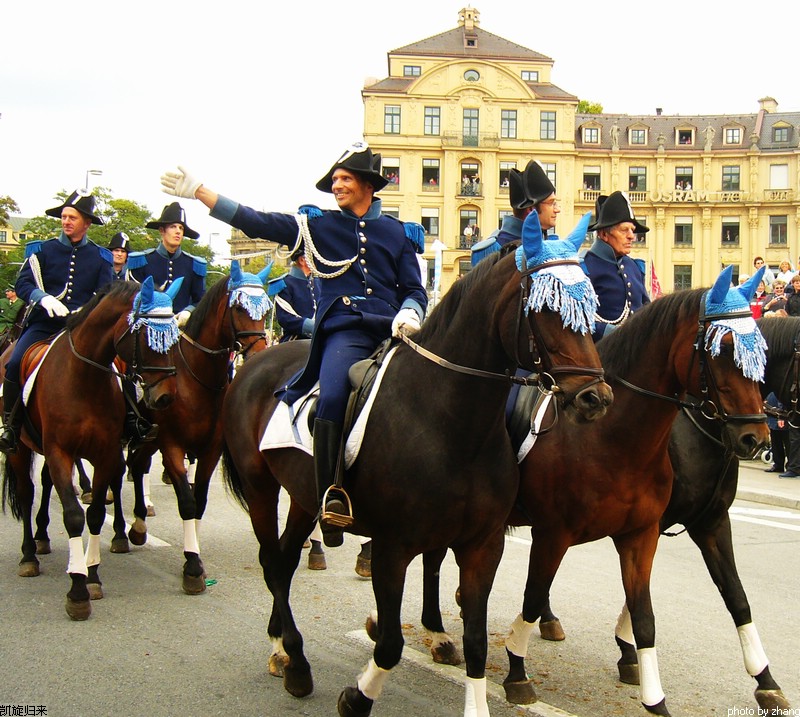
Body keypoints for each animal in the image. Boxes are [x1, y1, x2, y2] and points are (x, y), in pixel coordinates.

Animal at [0, 276, 181, 620]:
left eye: (174, 336)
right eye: (146, 335)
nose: (165, 397)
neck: (84, 378)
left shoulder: (105, 452)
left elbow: (96, 514)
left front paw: (92, 575)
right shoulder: (60, 451)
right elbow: (73, 516)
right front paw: (77, 589)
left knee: (45, 484)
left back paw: (42, 537)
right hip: (19, 449)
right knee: (27, 493)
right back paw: (29, 555)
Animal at [123, 258, 274, 592]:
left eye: (266, 311)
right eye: (239, 307)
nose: (259, 355)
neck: (196, 379)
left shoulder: (211, 448)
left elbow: (200, 501)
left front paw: (195, 552)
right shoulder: (171, 444)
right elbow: (187, 502)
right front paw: (192, 566)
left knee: (137, 465)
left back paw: (138, 524)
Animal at [219, 213, 612, 716]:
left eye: (590, 308)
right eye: (546, 309)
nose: (596, 398)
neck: (451, 422)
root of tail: (256, 362)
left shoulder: (483, 545)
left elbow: (477, 641)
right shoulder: (393, 546)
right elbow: (389, 643)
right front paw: (358, 696)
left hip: (304, 497)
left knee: (285, 562)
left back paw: (286, 652)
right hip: (260, 487)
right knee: (271, 562)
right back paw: (294, 660)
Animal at [412, 266, 768, 712]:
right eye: (724, 349)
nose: (756, 437)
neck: (614, 438)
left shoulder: (662, 530)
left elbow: (679, 609)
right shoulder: (554, 533)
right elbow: (532, 598)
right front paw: (517, 670)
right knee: (433, 559)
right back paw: (437, 632)